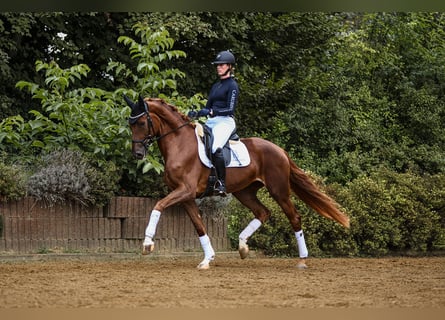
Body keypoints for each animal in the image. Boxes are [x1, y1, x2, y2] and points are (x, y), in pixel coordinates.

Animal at [123, 95, 348, 270]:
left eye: (141, 123)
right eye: (130, 124)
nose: (138, 154)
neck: (180, 143)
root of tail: (280, 150)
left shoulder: (184, 190)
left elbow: (158, 205)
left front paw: (147, 244)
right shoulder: (186, 196)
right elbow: (199, 225)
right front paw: (208, 259)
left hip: (279, 190)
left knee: (294, 217)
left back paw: (302, 259)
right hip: (244, 192)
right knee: (263, 212)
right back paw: (242, 246)